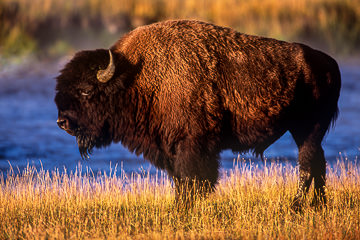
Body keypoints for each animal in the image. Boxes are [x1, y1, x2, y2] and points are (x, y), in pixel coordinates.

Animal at [55, 19, 340, 209]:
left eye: (86, 90)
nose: (62, 122)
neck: (136, 77)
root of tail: (330, 63)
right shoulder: (168, 148)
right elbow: (180, 181)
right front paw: (180, 207)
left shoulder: (192, 145)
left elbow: (193, 179)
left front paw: (185, 208)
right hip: (305, 131)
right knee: (318, 163)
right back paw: (318, 205)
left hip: (307, 128)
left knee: (307, 165)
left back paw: (297, 206)